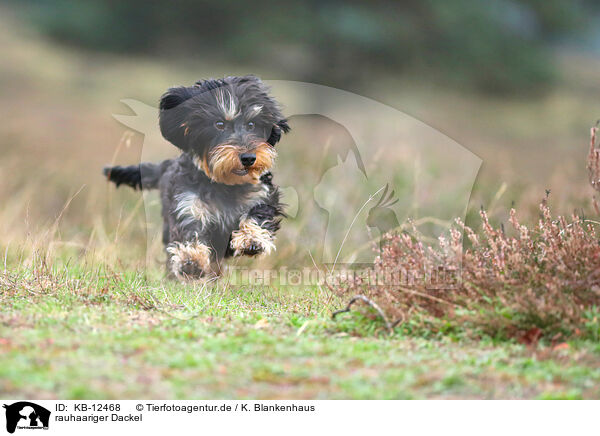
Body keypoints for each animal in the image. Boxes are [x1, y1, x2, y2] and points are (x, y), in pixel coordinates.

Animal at [103, 74, 290, 280]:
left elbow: (257, 215)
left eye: (252, 124)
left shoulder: (261, 195)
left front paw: (252, 239)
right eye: (219, 124)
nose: (248, 158)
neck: (225, 184)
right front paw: (190, 258)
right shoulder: (187, 204)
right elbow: (190, 231)